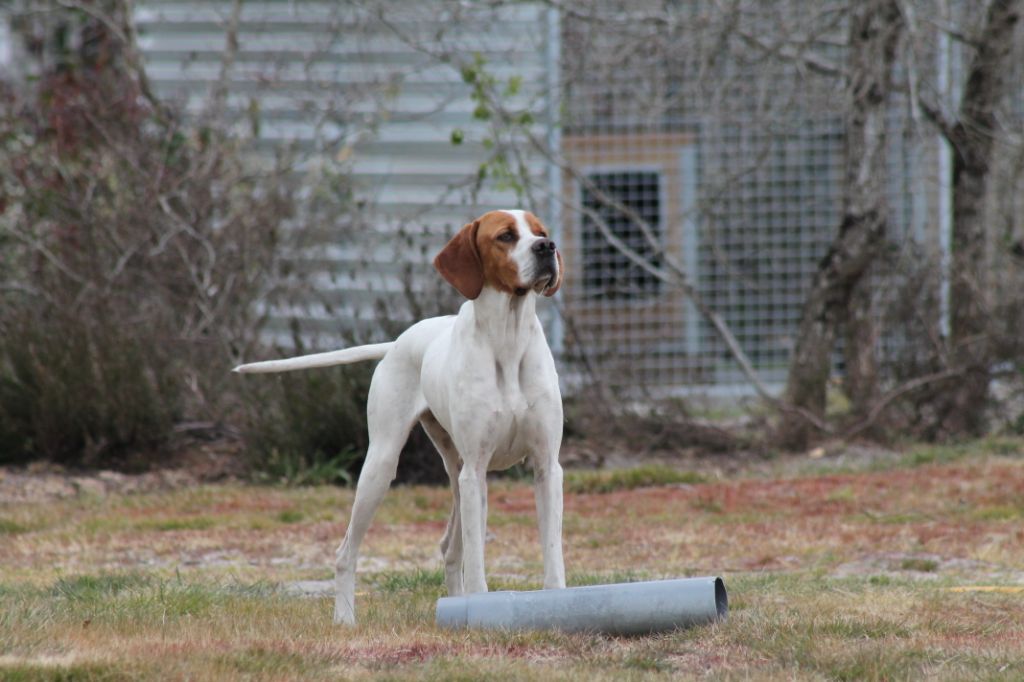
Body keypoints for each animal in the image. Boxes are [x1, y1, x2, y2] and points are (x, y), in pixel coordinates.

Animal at [234, 206, 569, 622]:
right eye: (506, 236)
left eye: (541, 231)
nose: (547, 247)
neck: (508, 339)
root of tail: (396, 342)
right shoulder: (477, 471)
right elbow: (477, 563)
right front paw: (482, 605)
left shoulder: (546, 468)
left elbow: (552, 555)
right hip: (385, 467)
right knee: (347, 552)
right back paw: (345, 619)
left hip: (457, 477)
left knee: (449, 549)